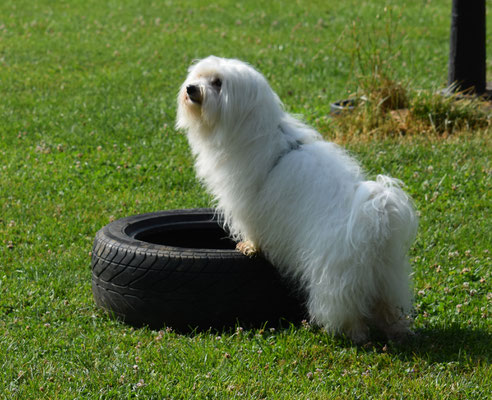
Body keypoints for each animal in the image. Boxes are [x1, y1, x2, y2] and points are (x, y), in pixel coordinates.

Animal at [175, 55, 418, 344]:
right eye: (199, 76)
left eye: (218, 83)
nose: (191, 88)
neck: (254, 130)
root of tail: (375, 216)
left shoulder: (249, 204)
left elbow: (253, 229)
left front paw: (249, 246)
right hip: (387, 276)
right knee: (388, 307)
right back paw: (396, 331)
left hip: (335, 274)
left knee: (346, 308)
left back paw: (353, 334)